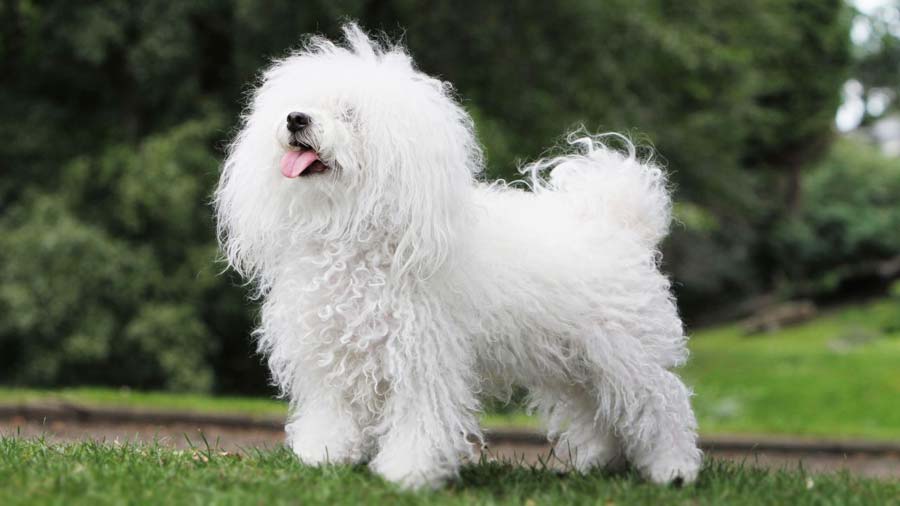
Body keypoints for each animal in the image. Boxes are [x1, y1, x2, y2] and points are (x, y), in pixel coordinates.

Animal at [213, 23, 704, 490]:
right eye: (302, 103)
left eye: (350, 115)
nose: (296, 118)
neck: (355, 232)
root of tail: (619, 221)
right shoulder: (332, 354)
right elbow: (334, 411)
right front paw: (324, 454)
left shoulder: (422, 358)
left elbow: (420, 422)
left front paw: (408, 473)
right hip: (575, 362)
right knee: (598, 411)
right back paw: (603, 463)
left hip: (626, 353)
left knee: (662, 407)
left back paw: (675, 469)